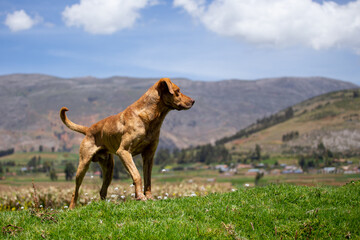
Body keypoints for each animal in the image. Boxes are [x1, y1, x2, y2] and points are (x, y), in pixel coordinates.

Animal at [59, 77, 194, 208]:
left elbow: (148, 179)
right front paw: (140, 196)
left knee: (102, 190)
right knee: (75, 191)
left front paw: (149, 197)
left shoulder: (149, 155)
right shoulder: (124, 152)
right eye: (177, 91)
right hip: (83, 165)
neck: (150, 116)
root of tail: (88, 129)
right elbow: (137, 175)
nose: (193, 101)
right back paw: (71, 208)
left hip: (109, 168)